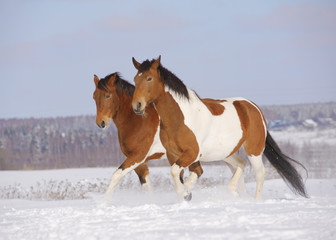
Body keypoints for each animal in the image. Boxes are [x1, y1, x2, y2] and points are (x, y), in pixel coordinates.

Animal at [93, 72, 245, 199]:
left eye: (108, 95)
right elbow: (146, 185)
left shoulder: (138, 156)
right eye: (94, 96)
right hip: (223, 153)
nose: (101, 123)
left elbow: (116, 176)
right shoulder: (138, 161)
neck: (138, 121)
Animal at [131, 56, 308, 201]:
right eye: (135, 79)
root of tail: (253, 107)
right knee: (241, 164)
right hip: (227, 153)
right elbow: (179, 176)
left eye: (149, 78)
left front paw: (185, 192)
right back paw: (235, 193)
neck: (181, 118)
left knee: (259, 172)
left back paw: (255, 200)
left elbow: (177, 173)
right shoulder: (172, 155)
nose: (137, 105)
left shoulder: (191, 153)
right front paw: (184, 195)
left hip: (254, 149)